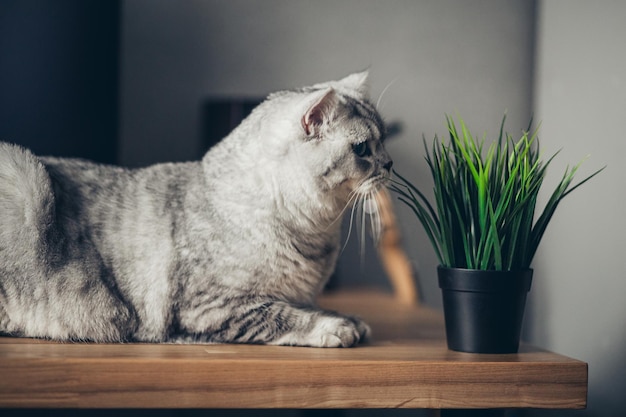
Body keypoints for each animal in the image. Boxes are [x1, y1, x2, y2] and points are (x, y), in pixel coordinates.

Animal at [0, 70, 390, 344]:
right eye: (361, 149)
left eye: (384, 139)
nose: (389, 164)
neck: (317, 233)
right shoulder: (213, 306)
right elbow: (286, 315)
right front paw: (336, 327)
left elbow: (308, 304)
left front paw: (350, 319)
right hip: (24, 179)